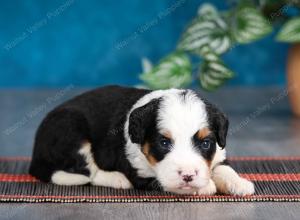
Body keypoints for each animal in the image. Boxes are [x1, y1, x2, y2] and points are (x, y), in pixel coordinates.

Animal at [29, 85, 254, 196]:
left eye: (205, 143)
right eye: (164, 143)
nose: (188, 176)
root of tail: (35, 156)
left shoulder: (218, 151)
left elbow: (223, 168)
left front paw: (239, 184)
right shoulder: (138, 170)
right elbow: (162, 181)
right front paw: (204, 187)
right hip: (72, 131)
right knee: (89, 172)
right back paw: (117, 179)